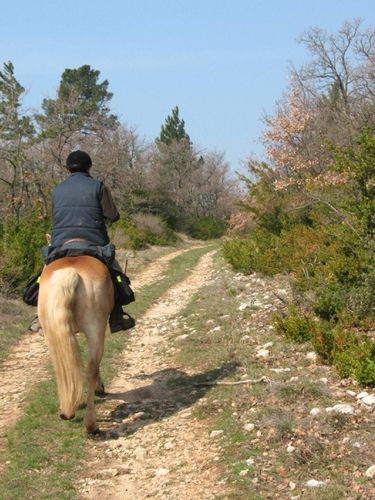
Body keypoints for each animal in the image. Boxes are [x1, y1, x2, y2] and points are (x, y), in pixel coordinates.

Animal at [38, 256, 115, 432]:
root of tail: (70, 271)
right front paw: (99, 388)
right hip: (96, 329)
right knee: (91, 368)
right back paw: (91, 423)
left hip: (52, 333)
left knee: (61, 366)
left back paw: (67, 410)